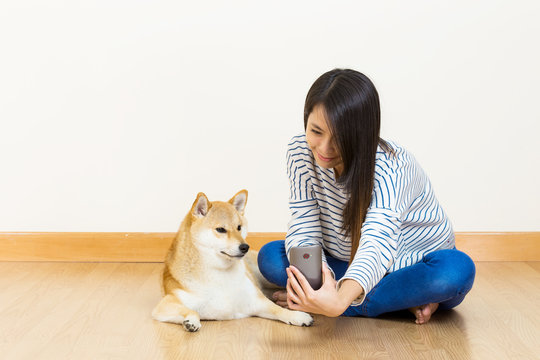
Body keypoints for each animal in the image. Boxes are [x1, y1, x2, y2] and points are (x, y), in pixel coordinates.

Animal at [151, 190, 312, 334]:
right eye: (221, 229)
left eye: (239, 227)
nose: (245, 247)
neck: (220, 272)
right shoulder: (166, 304)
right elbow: (191, 311)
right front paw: (191, 321)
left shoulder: (257, 301)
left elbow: (279, 310)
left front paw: (297, 316)